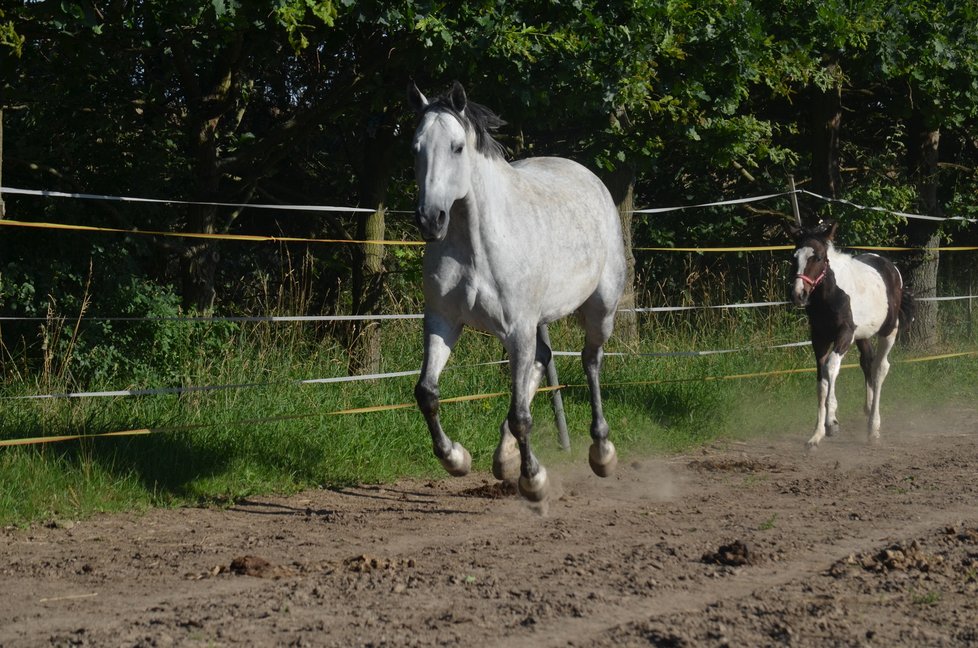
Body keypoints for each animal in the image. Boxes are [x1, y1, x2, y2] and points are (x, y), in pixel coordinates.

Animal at [406, 82, 624, 506]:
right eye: (415, 147)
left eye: (457, 147)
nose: (430, 220)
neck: (476, 244)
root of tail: (588, 176)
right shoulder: (443, 321)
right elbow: (427, 393)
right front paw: (456, 459)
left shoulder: (517, 327)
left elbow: (522, 416)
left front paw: (534, 480)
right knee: (541, 361)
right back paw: (503, 458)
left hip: (600, 308)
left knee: (590, 362)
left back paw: (602, 452)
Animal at [788, 220, 912, 448]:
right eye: (794, 257)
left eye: (818, 257)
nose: (798, 294)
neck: (830, 295)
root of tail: (889, 266)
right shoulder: (819, 338)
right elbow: (821, 380)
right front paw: (816, 434)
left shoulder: (845, 334)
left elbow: (831, 367)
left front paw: (831, 423)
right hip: (863, 335)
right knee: (868, 361)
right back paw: (868, 409)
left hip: (889, 330)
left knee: (881, 368)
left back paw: (873, 427)